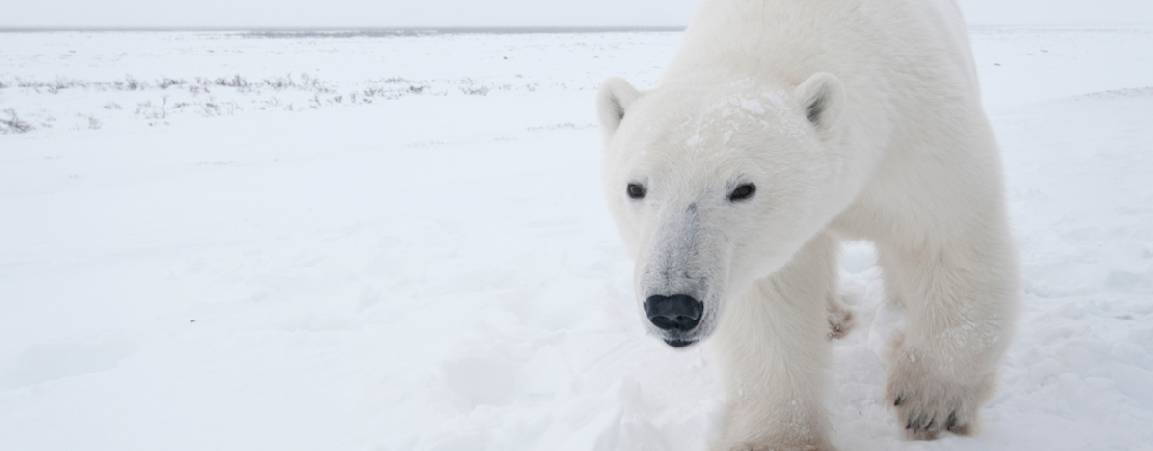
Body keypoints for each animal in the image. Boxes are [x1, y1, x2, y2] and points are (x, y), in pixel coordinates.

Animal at [594, 0, 1019, 449]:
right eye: (635, 187)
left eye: (743, 188)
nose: (673, 307)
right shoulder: (758, 252)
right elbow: (772, 304)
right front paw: (779, 437)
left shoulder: (916, 136)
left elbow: (946, 238)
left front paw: (930, 401)